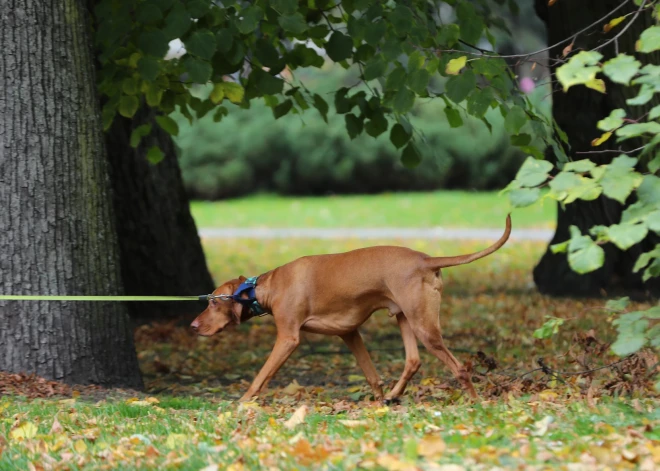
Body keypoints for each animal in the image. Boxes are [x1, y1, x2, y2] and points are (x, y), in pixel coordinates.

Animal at [191, 217, 510, 402]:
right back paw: (392, 397)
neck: (268, 286)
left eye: (213, 302)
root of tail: (425, 259)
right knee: (413, 360)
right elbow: (371, 374)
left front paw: (243, 402)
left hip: (424, 326)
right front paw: (376, 401)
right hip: (404, 317)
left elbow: (261, 375)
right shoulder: (349, 333)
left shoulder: (288, 338)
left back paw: (475, 403)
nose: (193, 326)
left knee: (460, 368)